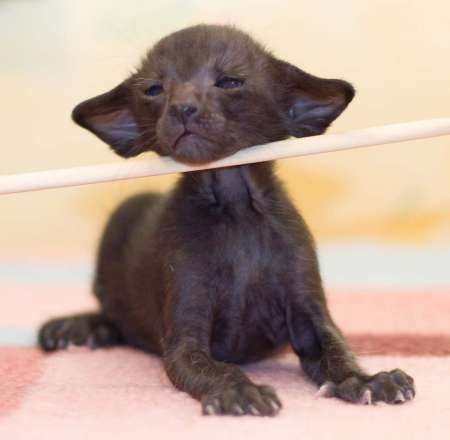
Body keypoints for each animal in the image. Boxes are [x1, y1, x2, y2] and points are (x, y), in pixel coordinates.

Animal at [38, 24, 414, 416]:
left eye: (230, 82)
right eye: (154, 90)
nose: (182, 108)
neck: (235, 205)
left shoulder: (308, 310)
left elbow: (337, 352)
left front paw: (367, 381)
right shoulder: (185, 334)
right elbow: (210, 367)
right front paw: (239, 391)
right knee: (112, 312)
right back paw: (80, 327)